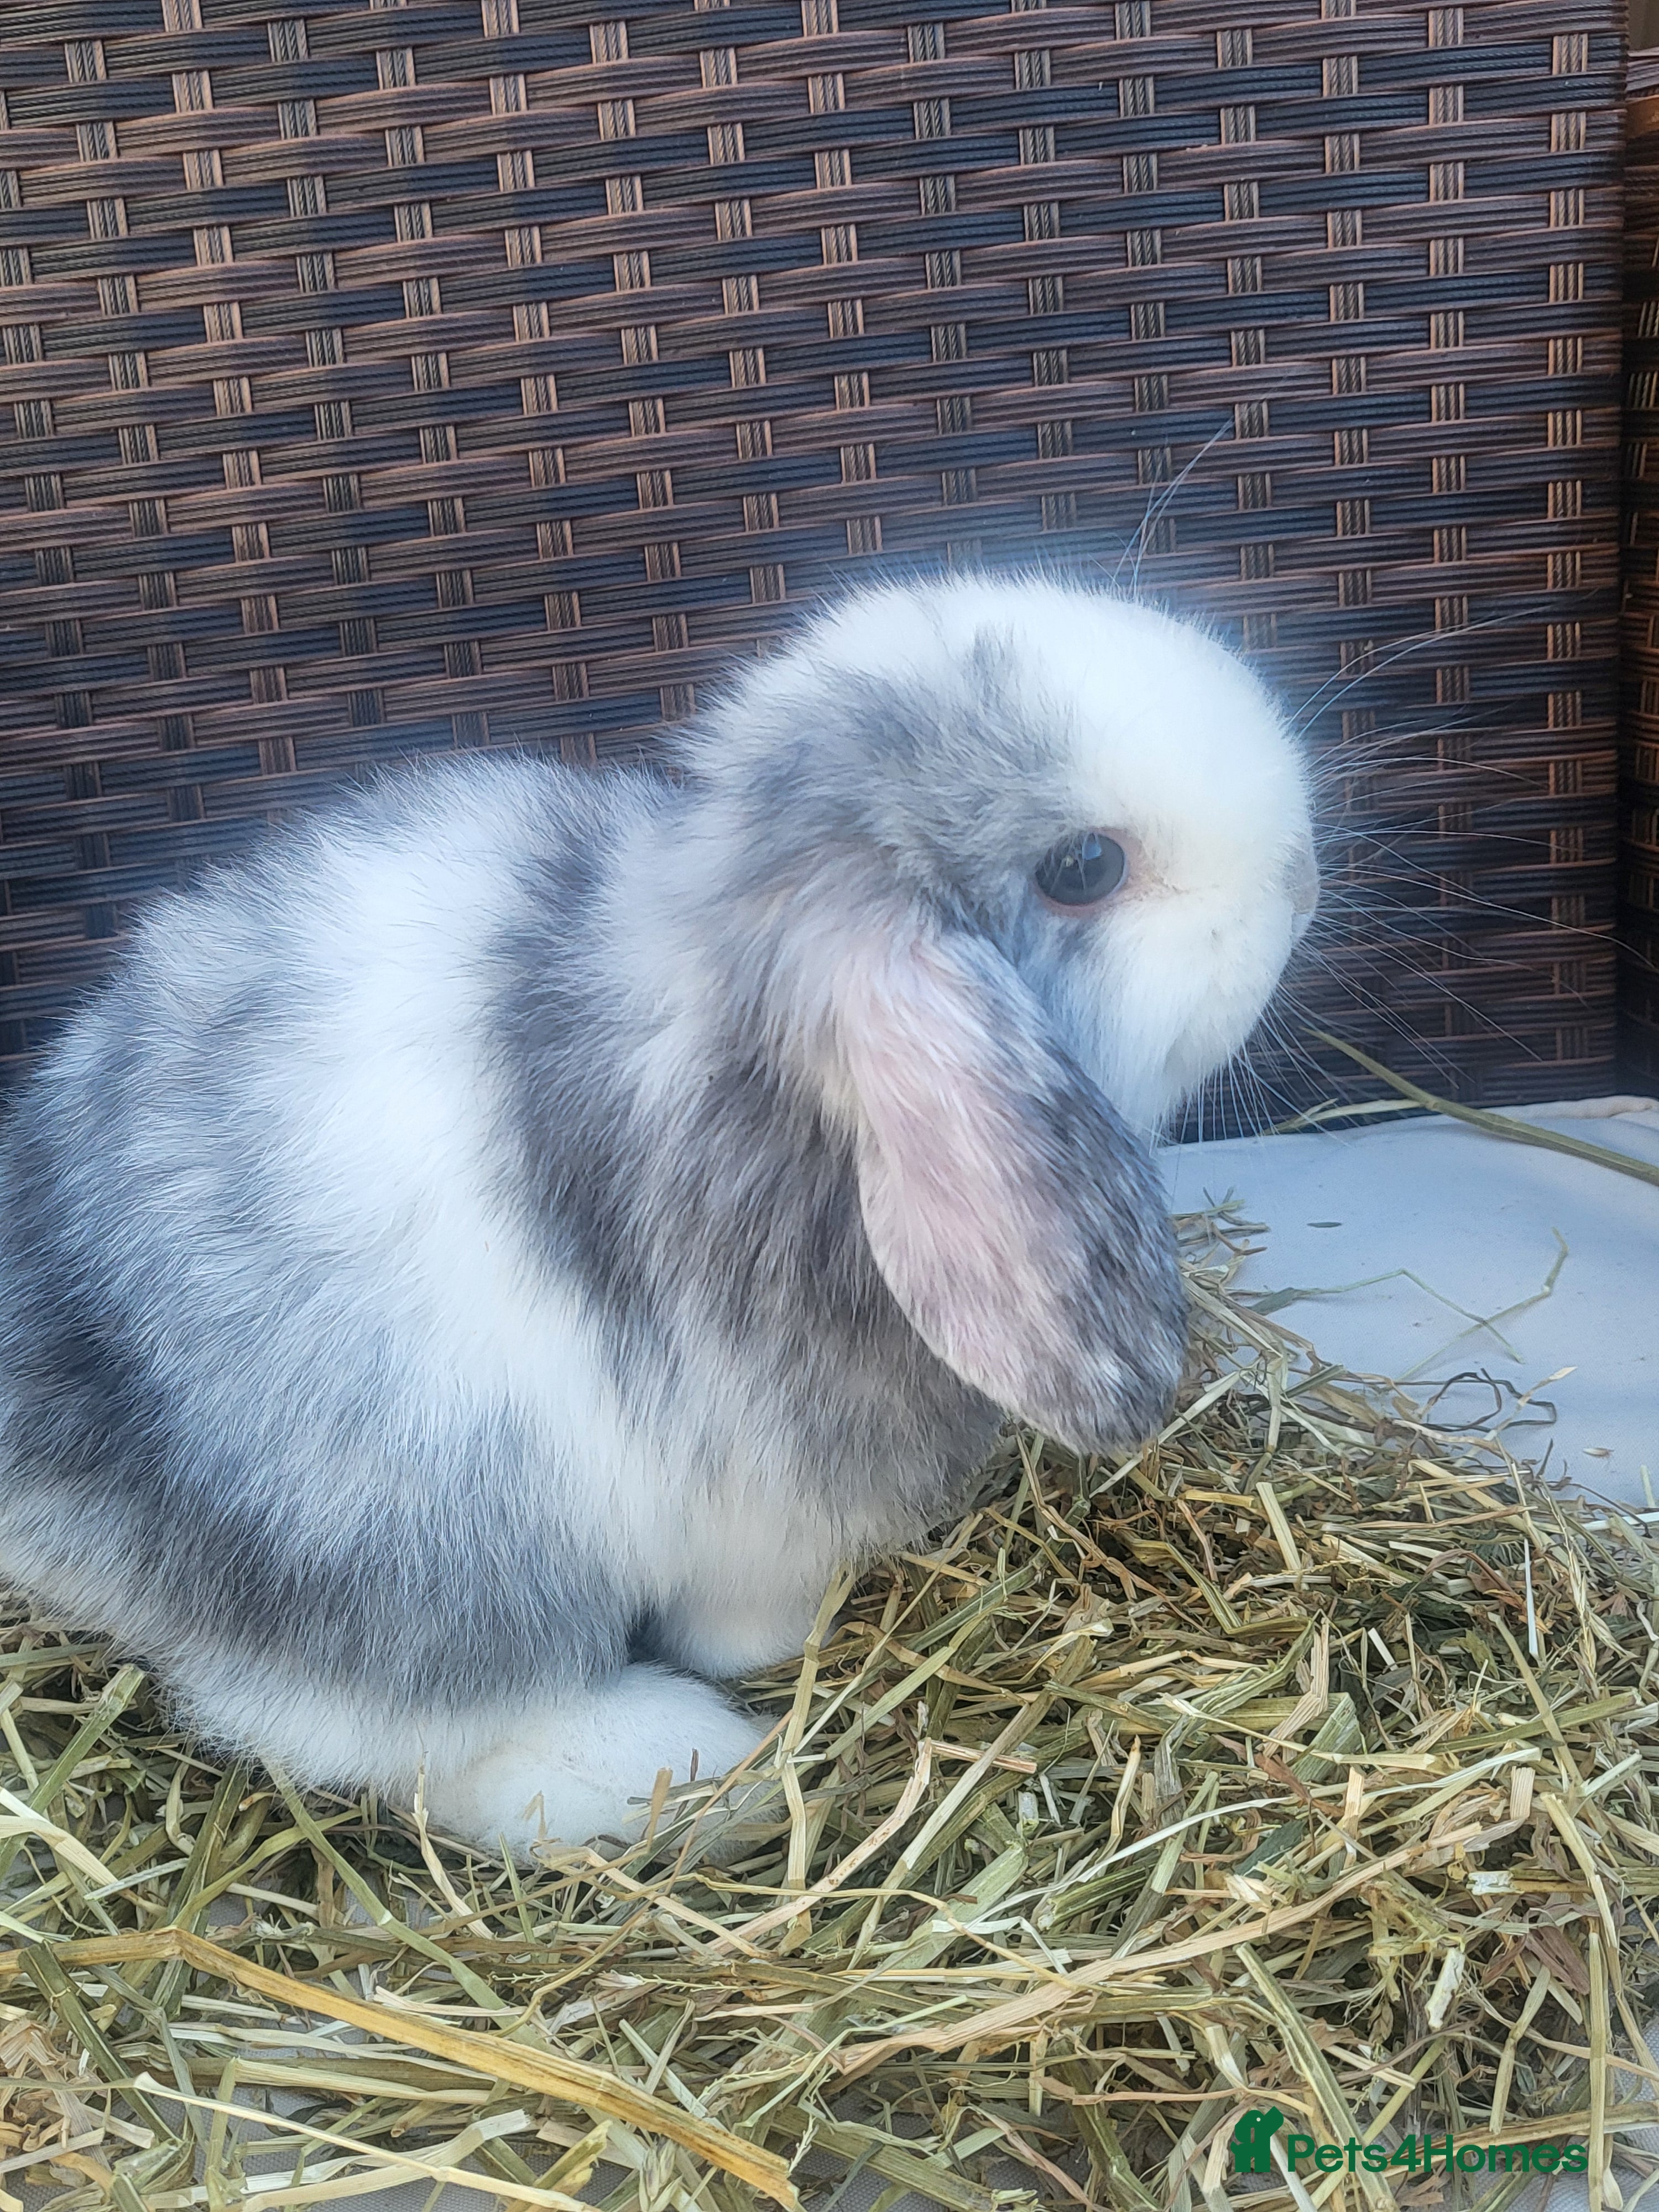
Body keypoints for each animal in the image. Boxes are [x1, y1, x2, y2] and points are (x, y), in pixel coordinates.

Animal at [0, 575, 1317, 1859]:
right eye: (1085, 867)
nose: (1303, 870)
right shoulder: (766, 1498)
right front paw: (764, 1647)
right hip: (426, 1554)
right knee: (362, 1729)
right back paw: (694, 1773)